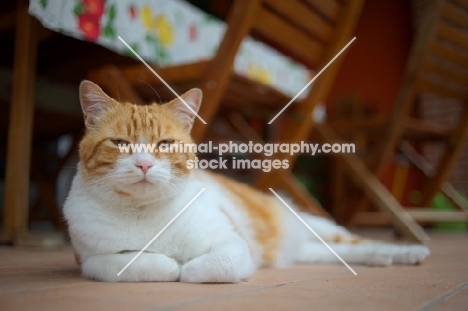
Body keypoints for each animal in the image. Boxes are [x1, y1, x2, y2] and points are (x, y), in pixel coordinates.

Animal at [64, 80, 430, 282]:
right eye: (120, 143)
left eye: (164, 145)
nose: (143, 164)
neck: (144, 214)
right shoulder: (90, 260)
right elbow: (139, 264)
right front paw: (168, 263)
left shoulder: (232, 243)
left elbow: (209, 267)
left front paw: (187, 267)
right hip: (307, 251)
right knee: (337, 252)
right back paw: (381, 260)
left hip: (318, 228)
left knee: (358, 241)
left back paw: (407, 252)